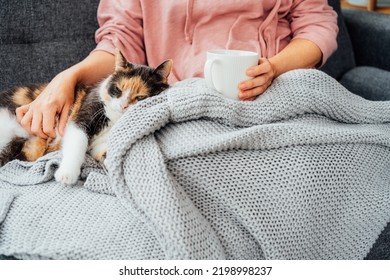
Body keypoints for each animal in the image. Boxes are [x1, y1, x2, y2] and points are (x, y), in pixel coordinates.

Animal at [0, 49, 172, 186]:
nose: (123, 106)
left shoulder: (99, 143)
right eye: (118, 89)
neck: (114, 120)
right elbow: (77, 145)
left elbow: (104, 150)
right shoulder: (81, 118)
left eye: (141, 97)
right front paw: (67, 174)